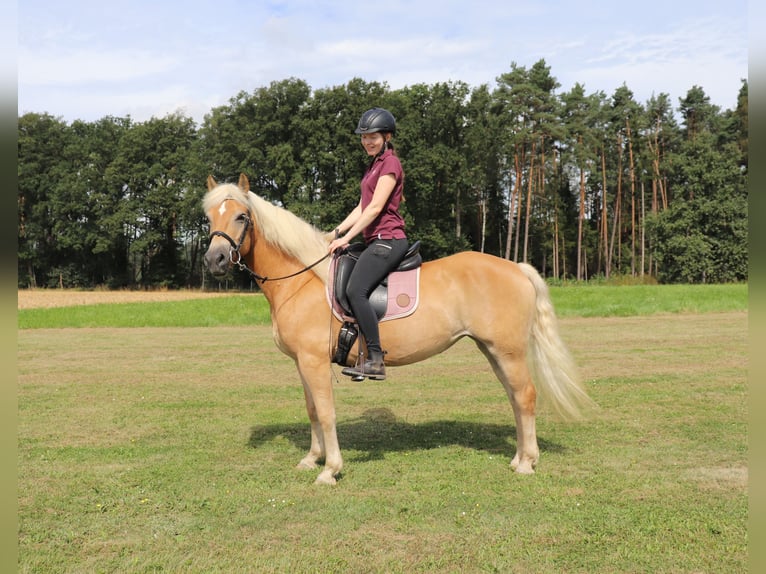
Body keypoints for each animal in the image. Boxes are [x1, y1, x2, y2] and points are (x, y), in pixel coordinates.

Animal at [204, 174, 592, 486]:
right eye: (209, 217)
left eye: (241, 216)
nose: (214, 260)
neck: (303, 279)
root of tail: (516, 267)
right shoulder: (302, 362)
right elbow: (312, 410)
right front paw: (311, 459)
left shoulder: (314, 362)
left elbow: (326, 413)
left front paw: (330, 470)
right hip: (494, 350)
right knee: (514, 397)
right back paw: (518, 457)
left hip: (508, 351)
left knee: (525, 396)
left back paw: (527, 463)